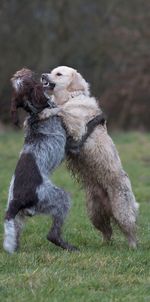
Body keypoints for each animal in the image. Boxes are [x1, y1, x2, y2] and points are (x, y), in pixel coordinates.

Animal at [40, 65, 139, 248]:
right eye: (51, 71)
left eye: (59, 74)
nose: (43, 75)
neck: (70, 97)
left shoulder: (77, 126)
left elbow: (61, 110)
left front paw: (46, 112)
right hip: (94, 212)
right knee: (107, 231)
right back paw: (103, 245)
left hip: (121, 210)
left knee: (130, 230)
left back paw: (132, 247)